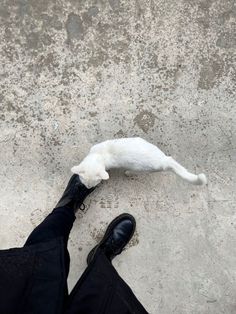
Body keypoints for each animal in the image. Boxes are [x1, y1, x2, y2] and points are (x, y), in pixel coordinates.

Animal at [71, 136, 207, 188]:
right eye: (85, 184)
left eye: (93, 185)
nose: (88, 188)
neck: (98, 155)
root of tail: (163, 160)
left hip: (140, 168)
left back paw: (128, 173)